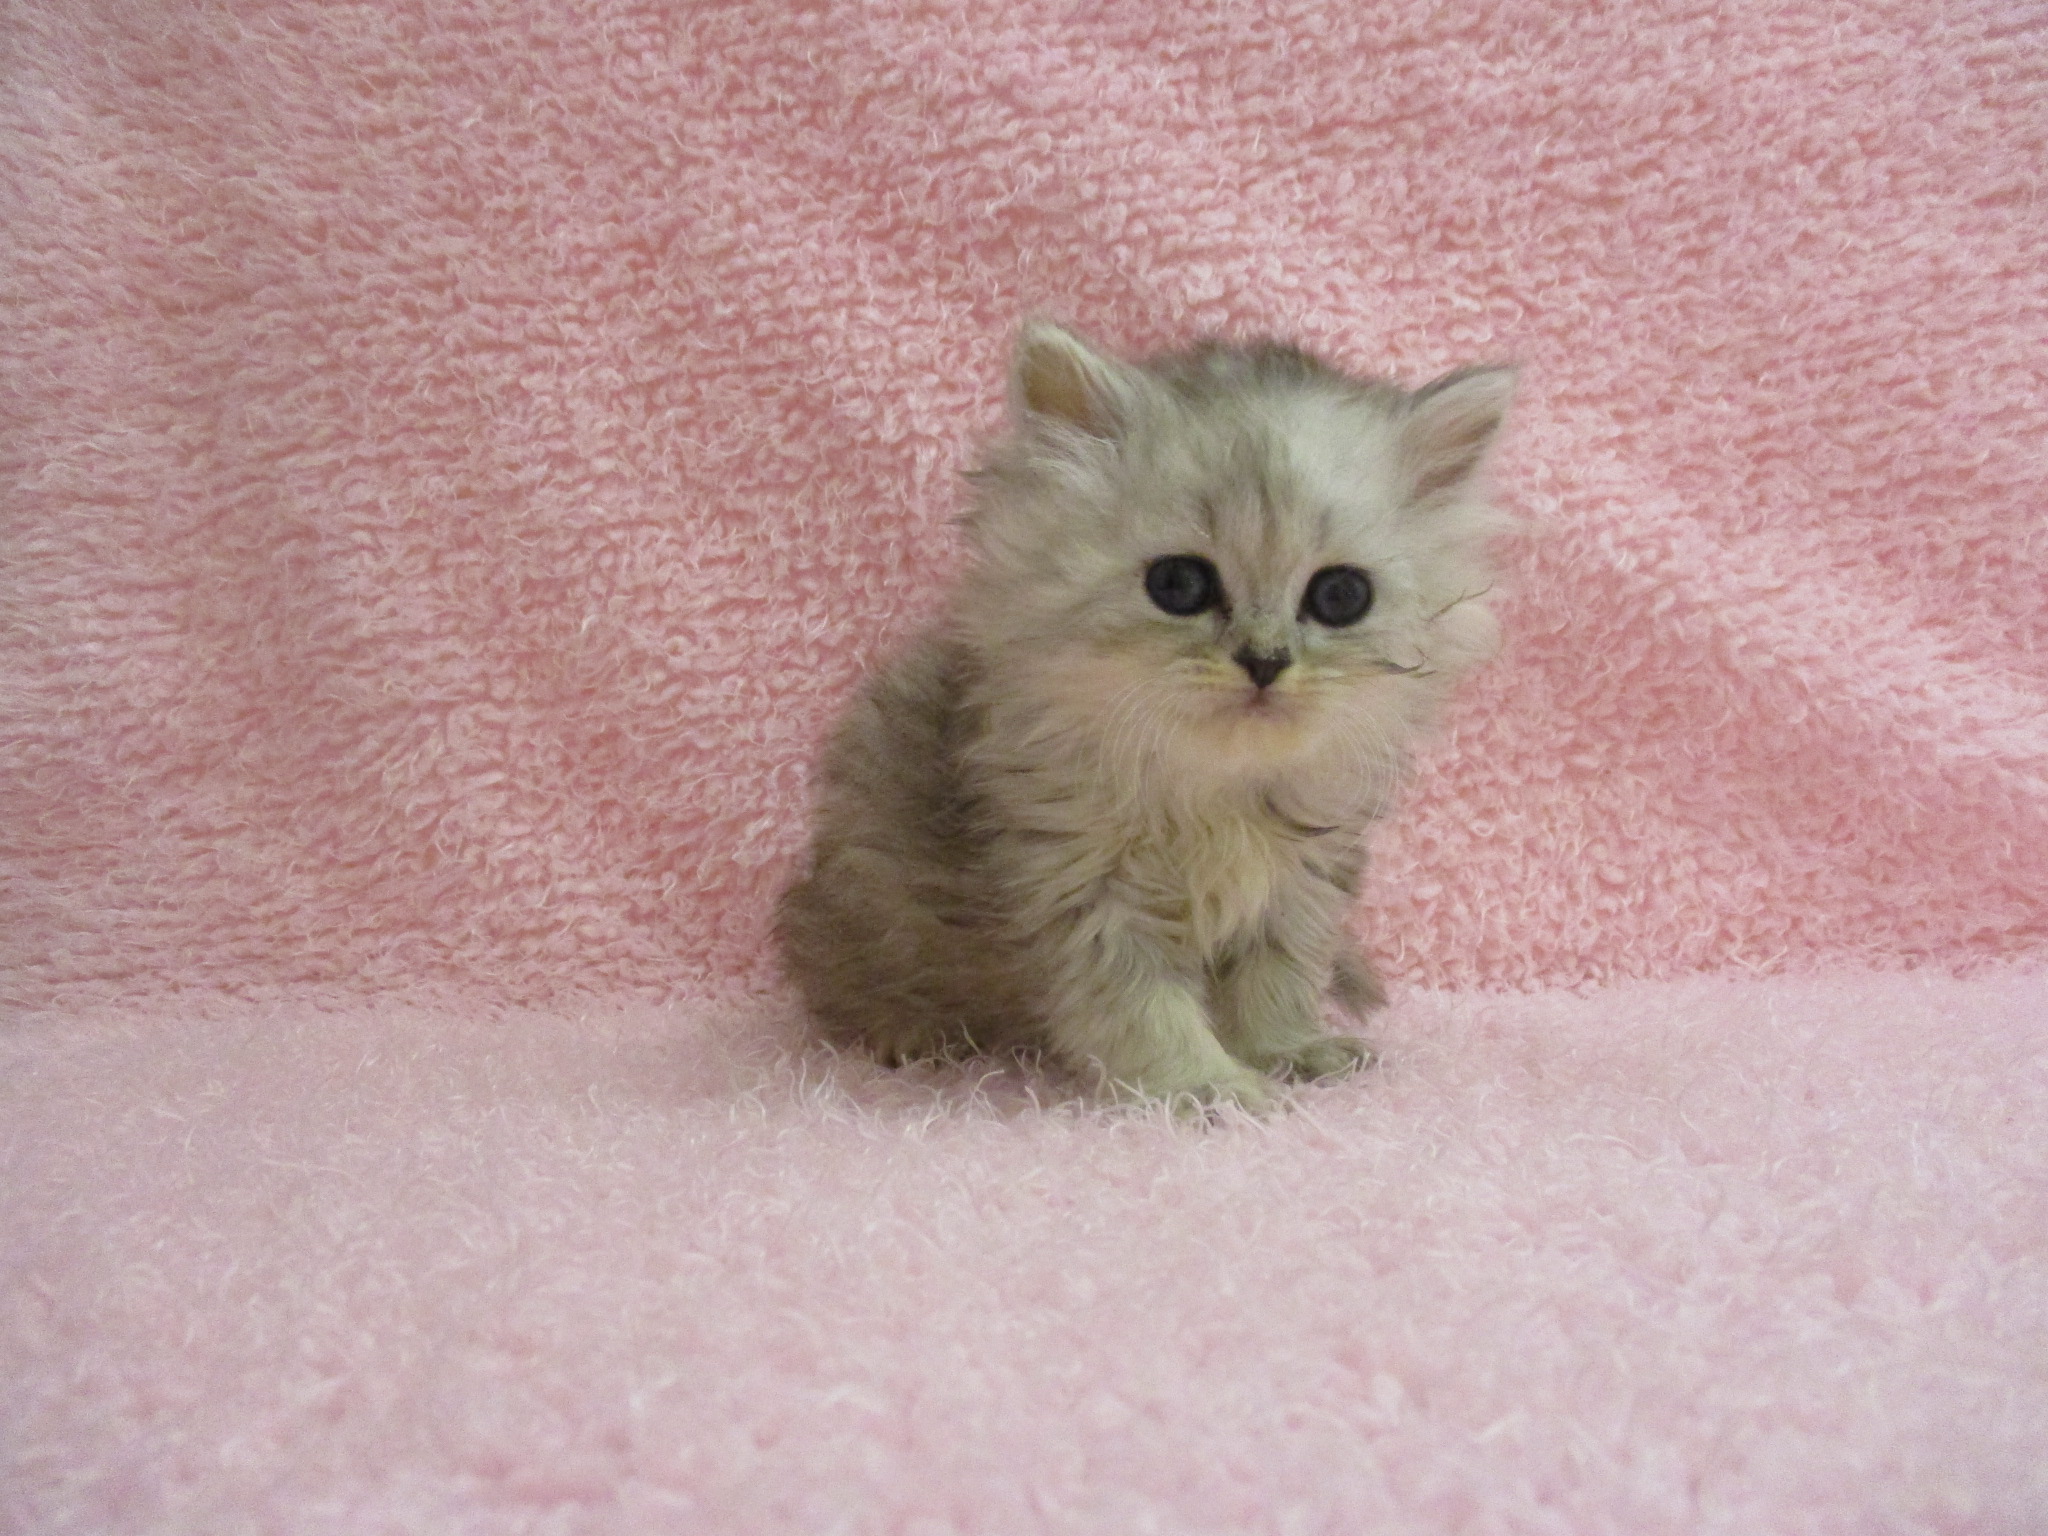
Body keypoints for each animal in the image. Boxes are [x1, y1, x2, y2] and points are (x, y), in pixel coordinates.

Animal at [775, 321, 1515, 1112]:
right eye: (1179, 584)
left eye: (1341, 596)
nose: (1264, 661)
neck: (1213, 796)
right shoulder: (1080, 887)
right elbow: (1142, 1009)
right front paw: (1205, 1086)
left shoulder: (1299, 884)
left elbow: (1277, 979)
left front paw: (1285, 1051)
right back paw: (909, 1034)